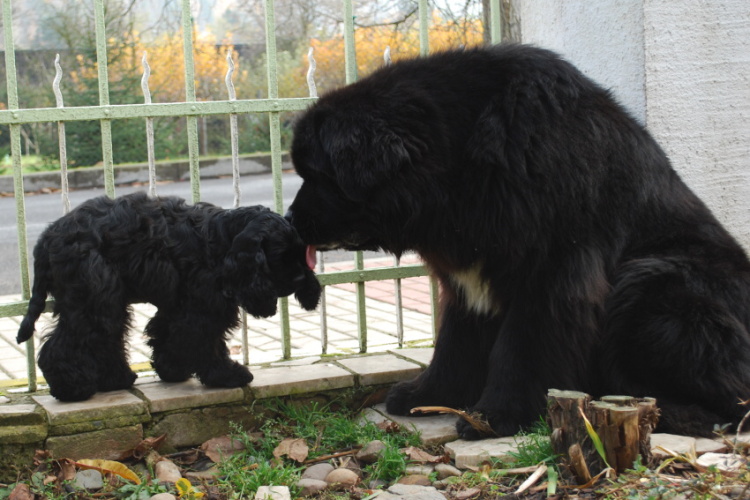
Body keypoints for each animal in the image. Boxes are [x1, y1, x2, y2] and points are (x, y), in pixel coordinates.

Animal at [15, 191, 320, 402]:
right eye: (279, 256)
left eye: (300, 254)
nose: (298, 280)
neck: (222, 240)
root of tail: (46, 239)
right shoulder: (204, 308)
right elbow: (205, 342)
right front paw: (226, 375)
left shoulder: (178, 305)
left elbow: (168, 336)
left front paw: (171, 369)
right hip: (93, 299)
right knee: (66, 345)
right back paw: (72, 389)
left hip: (104, 302)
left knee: (105, 340)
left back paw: (116, 379)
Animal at [288, 46, 750, 438]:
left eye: (317, 174)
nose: (291, 220)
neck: (461, 167)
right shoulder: (467, 276)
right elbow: (454, 342)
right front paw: (427, 395)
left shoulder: (551, 268)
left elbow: (522, 346)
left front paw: (496, 416)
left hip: (652, 281)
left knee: (732, 398)